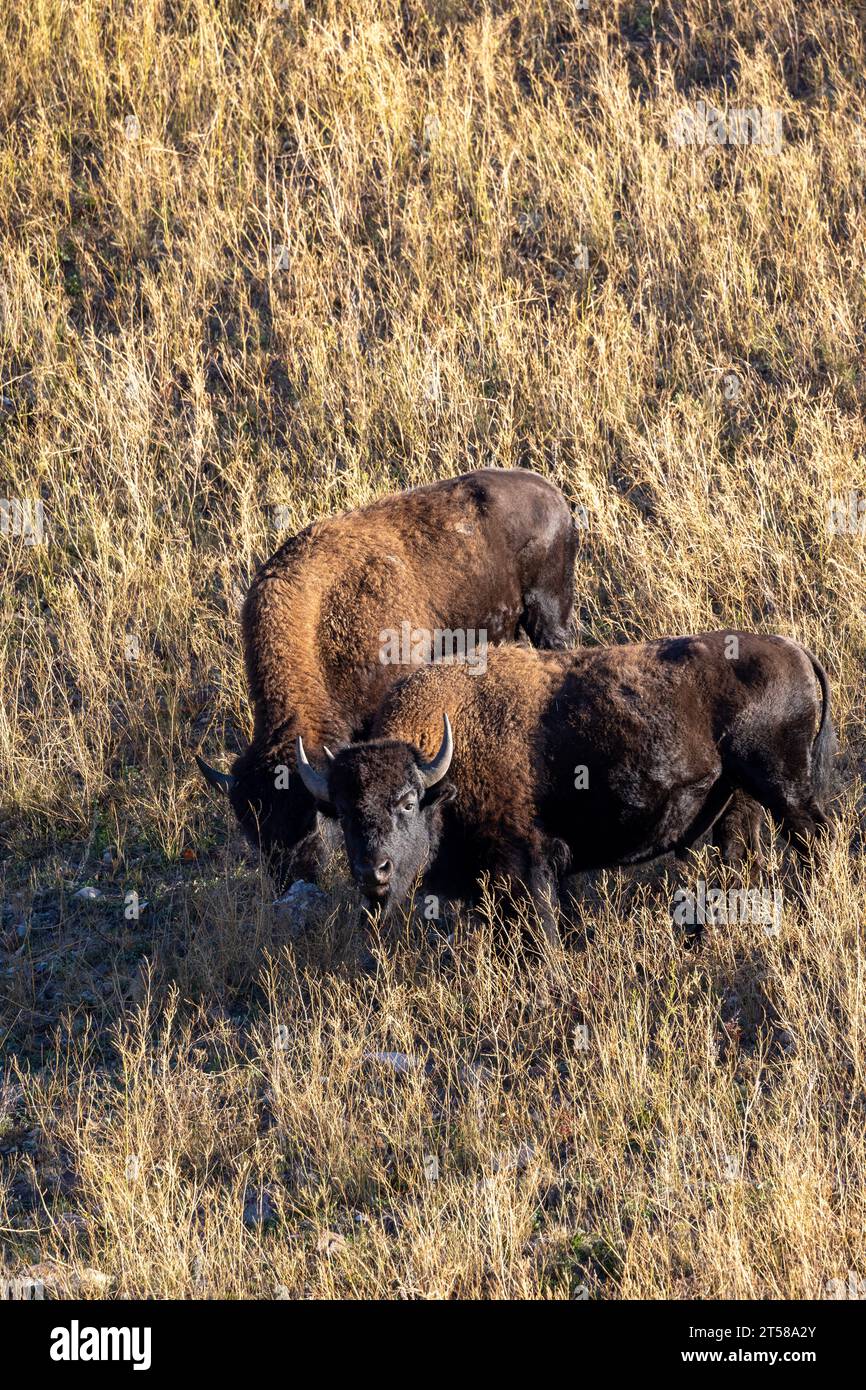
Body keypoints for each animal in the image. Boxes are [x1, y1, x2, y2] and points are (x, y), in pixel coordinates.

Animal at [193, 461, 578, 884]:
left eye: (309, 821)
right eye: (254, 833)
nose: (297, 878)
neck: (317, 621)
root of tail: (553, 495)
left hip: (548, 614)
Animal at [296, 636, 834, 928]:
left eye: (407, 802)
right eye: (342, 813)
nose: (373, 871)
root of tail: (797, 652)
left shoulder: (528, 870)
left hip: (785, 789)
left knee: (813, 836)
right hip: (738, 801)